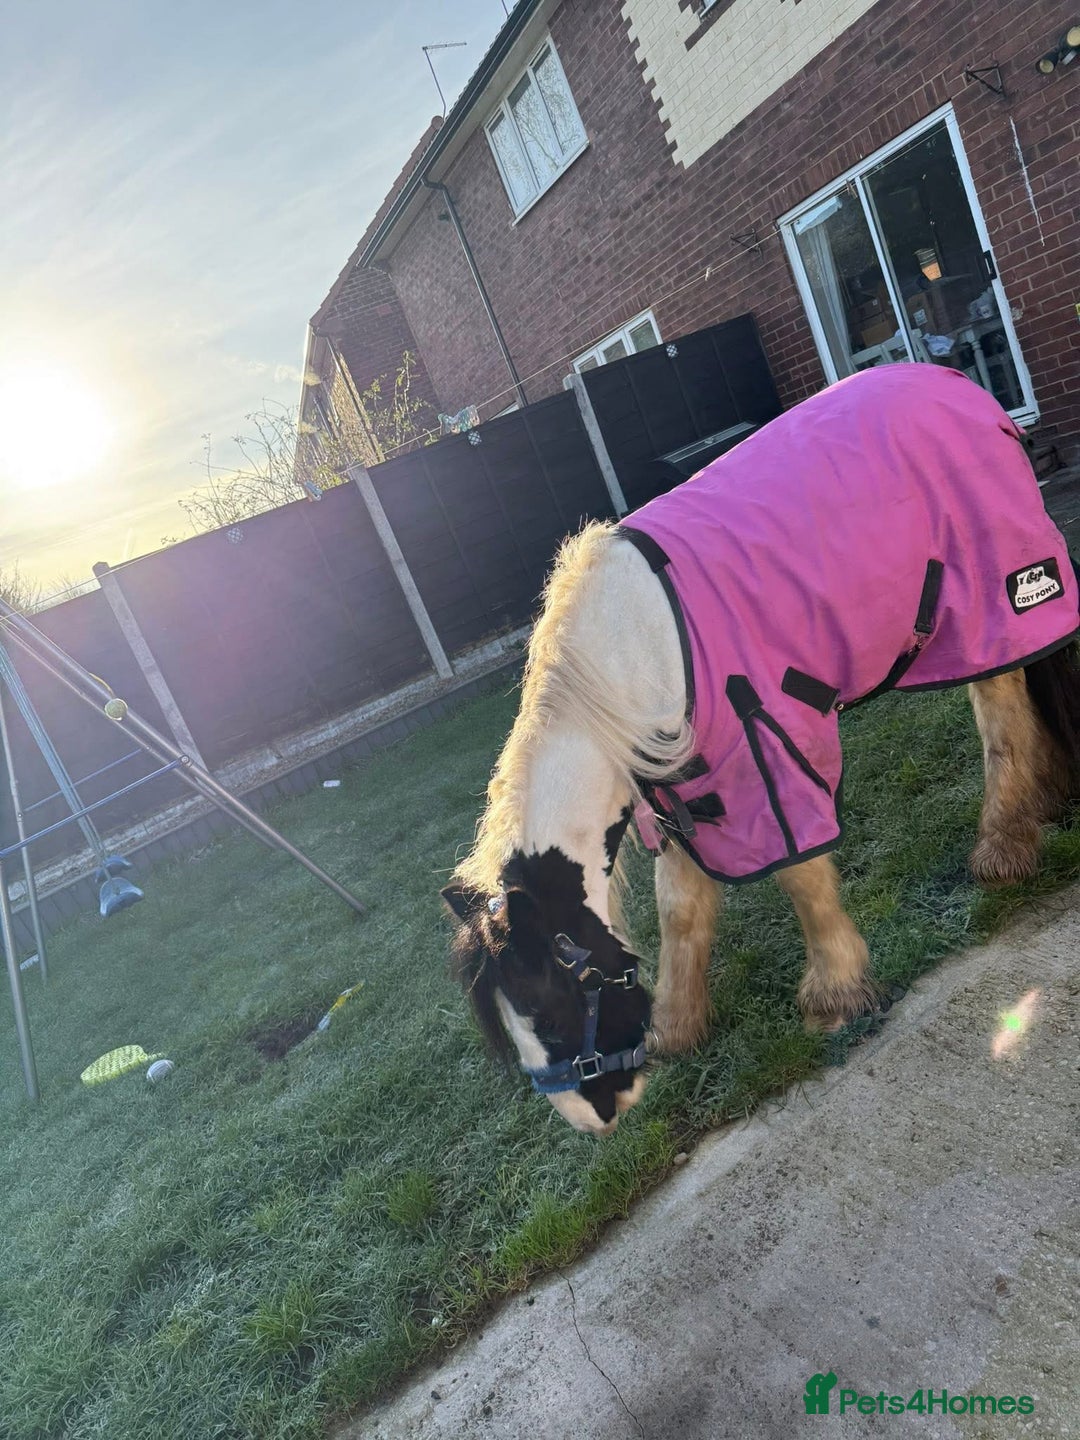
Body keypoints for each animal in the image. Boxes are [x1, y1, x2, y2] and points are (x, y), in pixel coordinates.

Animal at [441, 365, 1080, 1137]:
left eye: (551, 1006)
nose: (594, 1119)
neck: (633, 654)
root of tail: (963, 386)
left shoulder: (763, 753)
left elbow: (798, 872)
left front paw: (835, 994)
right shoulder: (682, 793)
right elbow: (681, 908)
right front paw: (677, 1026)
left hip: (992, 605)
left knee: (1002, 710)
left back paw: (1003, 847)